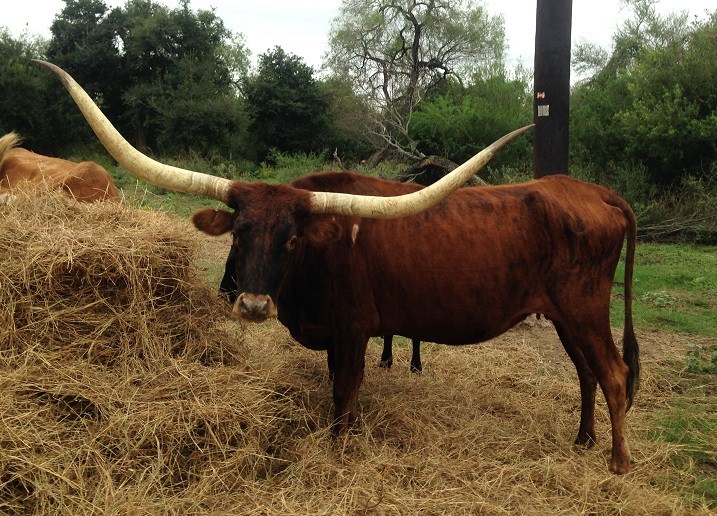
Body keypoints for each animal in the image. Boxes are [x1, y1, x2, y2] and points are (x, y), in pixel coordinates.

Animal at [38, 60, 640, 474]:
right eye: (240, 231)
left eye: (290, 238)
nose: (251, 304)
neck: (315, 263)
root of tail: (592, 191)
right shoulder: (332, 334)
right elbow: (335, 390)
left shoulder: (353, 332)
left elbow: (345, 396)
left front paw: (339, 449)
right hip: (564, 315)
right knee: (587, 372)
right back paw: (583, 440)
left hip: (584, 308)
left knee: (613, 373)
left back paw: (617, 462)